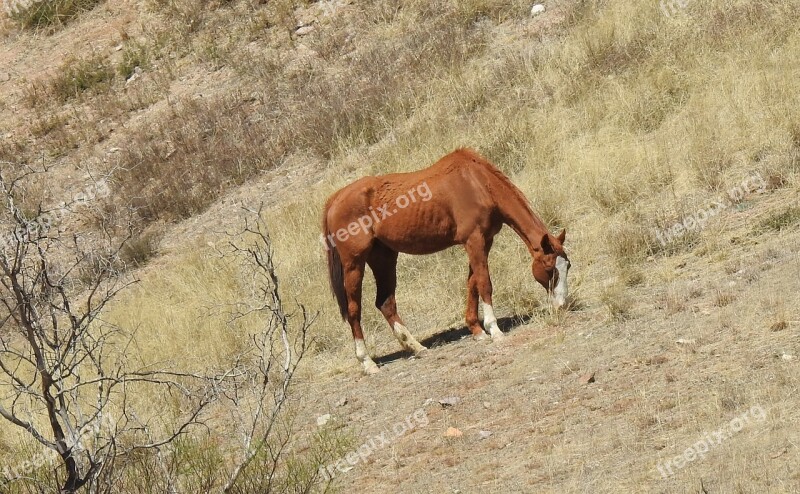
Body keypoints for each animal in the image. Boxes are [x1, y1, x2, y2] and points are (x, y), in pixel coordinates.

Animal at [320, 149, 568, 372]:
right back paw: (367, 362)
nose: (562, 304)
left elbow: (473, 284)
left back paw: (417, 347)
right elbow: (485, 283)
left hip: (383, 258)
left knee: (385, 303)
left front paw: (477, 330)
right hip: (354, 264)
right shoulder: (474, 241)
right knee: (354, 310)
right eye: (550, 269)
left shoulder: (483, 242)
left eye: (568, 266)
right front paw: (494, 330)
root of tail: (334, 199)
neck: (476, 183)